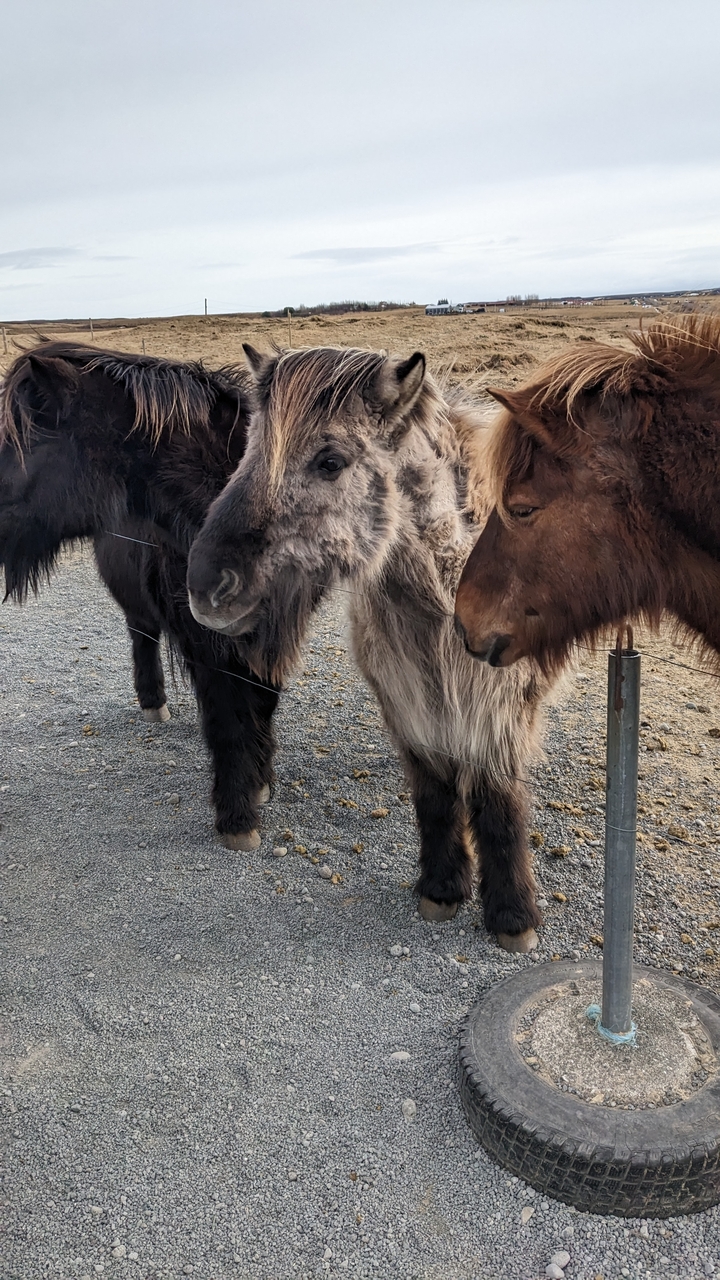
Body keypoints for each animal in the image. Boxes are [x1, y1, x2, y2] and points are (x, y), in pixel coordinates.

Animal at [0, 342, 278, 849]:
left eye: (25, 439)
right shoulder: (203, 639)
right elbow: (225, 716)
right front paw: (237, 816)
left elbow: (263, 701)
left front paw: (261, 779)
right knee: (141, 634)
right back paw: (153, 703)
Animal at [186, 343, 562, 952]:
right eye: (249, 446)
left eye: (330, 461)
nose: (204, 587)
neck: (443, 601)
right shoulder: (407, 699)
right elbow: (434, 794)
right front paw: (442, 888)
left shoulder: (497, 709)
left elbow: (498, 801)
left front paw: (512, 916)